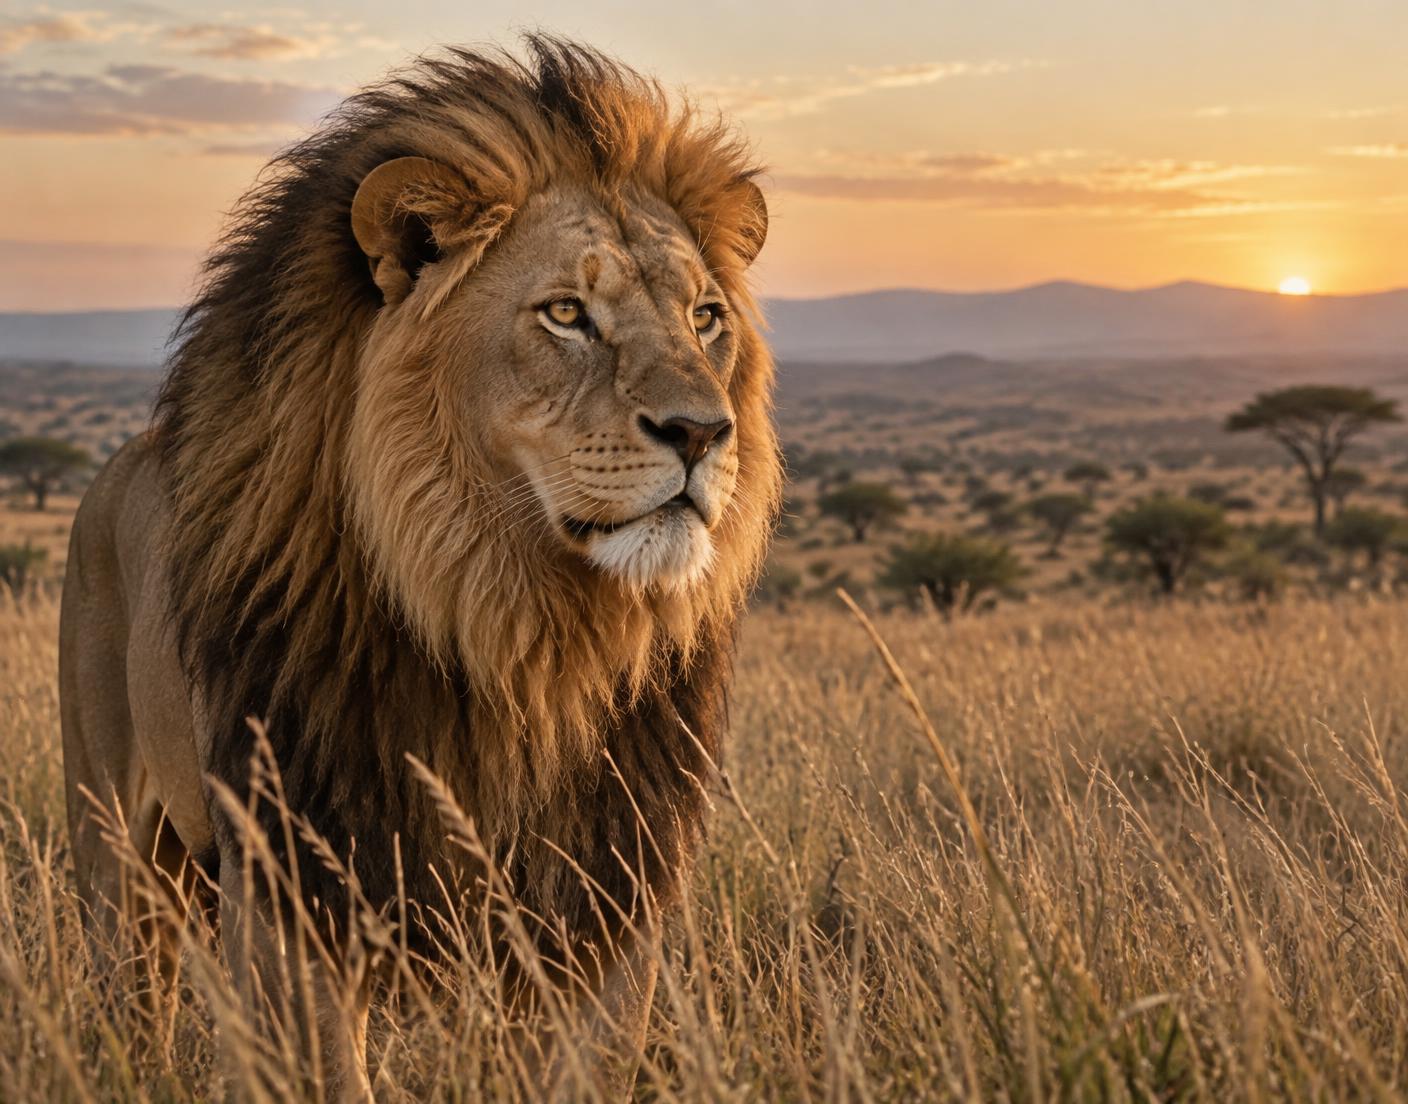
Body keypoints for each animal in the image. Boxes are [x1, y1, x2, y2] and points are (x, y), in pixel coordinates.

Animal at [59, 37, 780, 1100]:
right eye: (566, 313)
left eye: (705, 317)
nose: (702, 432)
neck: (517, 631)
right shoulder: (297, 886)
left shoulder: (603, 898)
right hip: (115, 853)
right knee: (126, 1003)